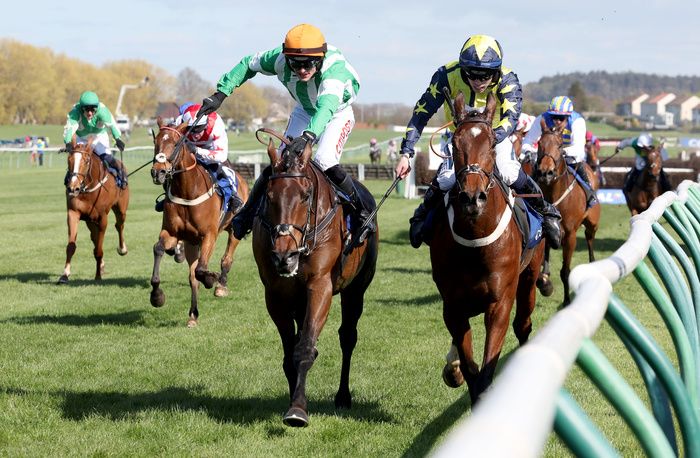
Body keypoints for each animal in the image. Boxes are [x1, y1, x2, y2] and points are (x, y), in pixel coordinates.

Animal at [58, 138, 129, 284]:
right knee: (94, 237)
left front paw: (97, 276)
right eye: (69, 160)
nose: (73, 188)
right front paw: (65, 275)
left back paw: (122, 249)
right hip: (90, 221)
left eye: (86, 161)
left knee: (119, 225)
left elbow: (99, 250)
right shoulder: (73, 213)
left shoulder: (102, 218)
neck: (87, 189)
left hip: (121, 209)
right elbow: (71, 246)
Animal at [148, 118, 249, 326]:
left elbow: (202, 269)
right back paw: (193, 314)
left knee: (226, 259)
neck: (188, 190)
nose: (157, 172)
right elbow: (159, 249)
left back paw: (221, 285)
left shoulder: (209, 234)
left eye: (175, 144)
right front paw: (157, 296)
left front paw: (211, 279)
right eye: (156, 142)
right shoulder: (173, 234)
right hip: (191, 243)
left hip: (234, 229)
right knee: (192, 276)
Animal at [253, 128, 378, 426]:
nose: (284, 257)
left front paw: (297, 408)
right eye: (269, 195)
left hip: (356, 289)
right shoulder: (275, 294)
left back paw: (343, 396)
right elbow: (290, 352)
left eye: (305, 195)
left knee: (348, 337)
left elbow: (305, 347)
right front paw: (293, 399)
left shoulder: (320, 286)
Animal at [432, 94, 548, 404]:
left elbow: (486, 371)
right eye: (454, 143)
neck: (475, 244)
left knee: (523, 324)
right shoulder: (453, 304)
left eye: (493, 144)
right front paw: (456, 369)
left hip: (529, 275)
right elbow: (471, 369)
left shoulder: (499, 303)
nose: (473, 198)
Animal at [532, 121, 600, 304]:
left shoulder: (570, 235)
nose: (545, 172)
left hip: (592, 224)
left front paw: (567, 301)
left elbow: (565, 271)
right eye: (539, 143)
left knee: (590, 239)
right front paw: (545, 283)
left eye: (560, 145)